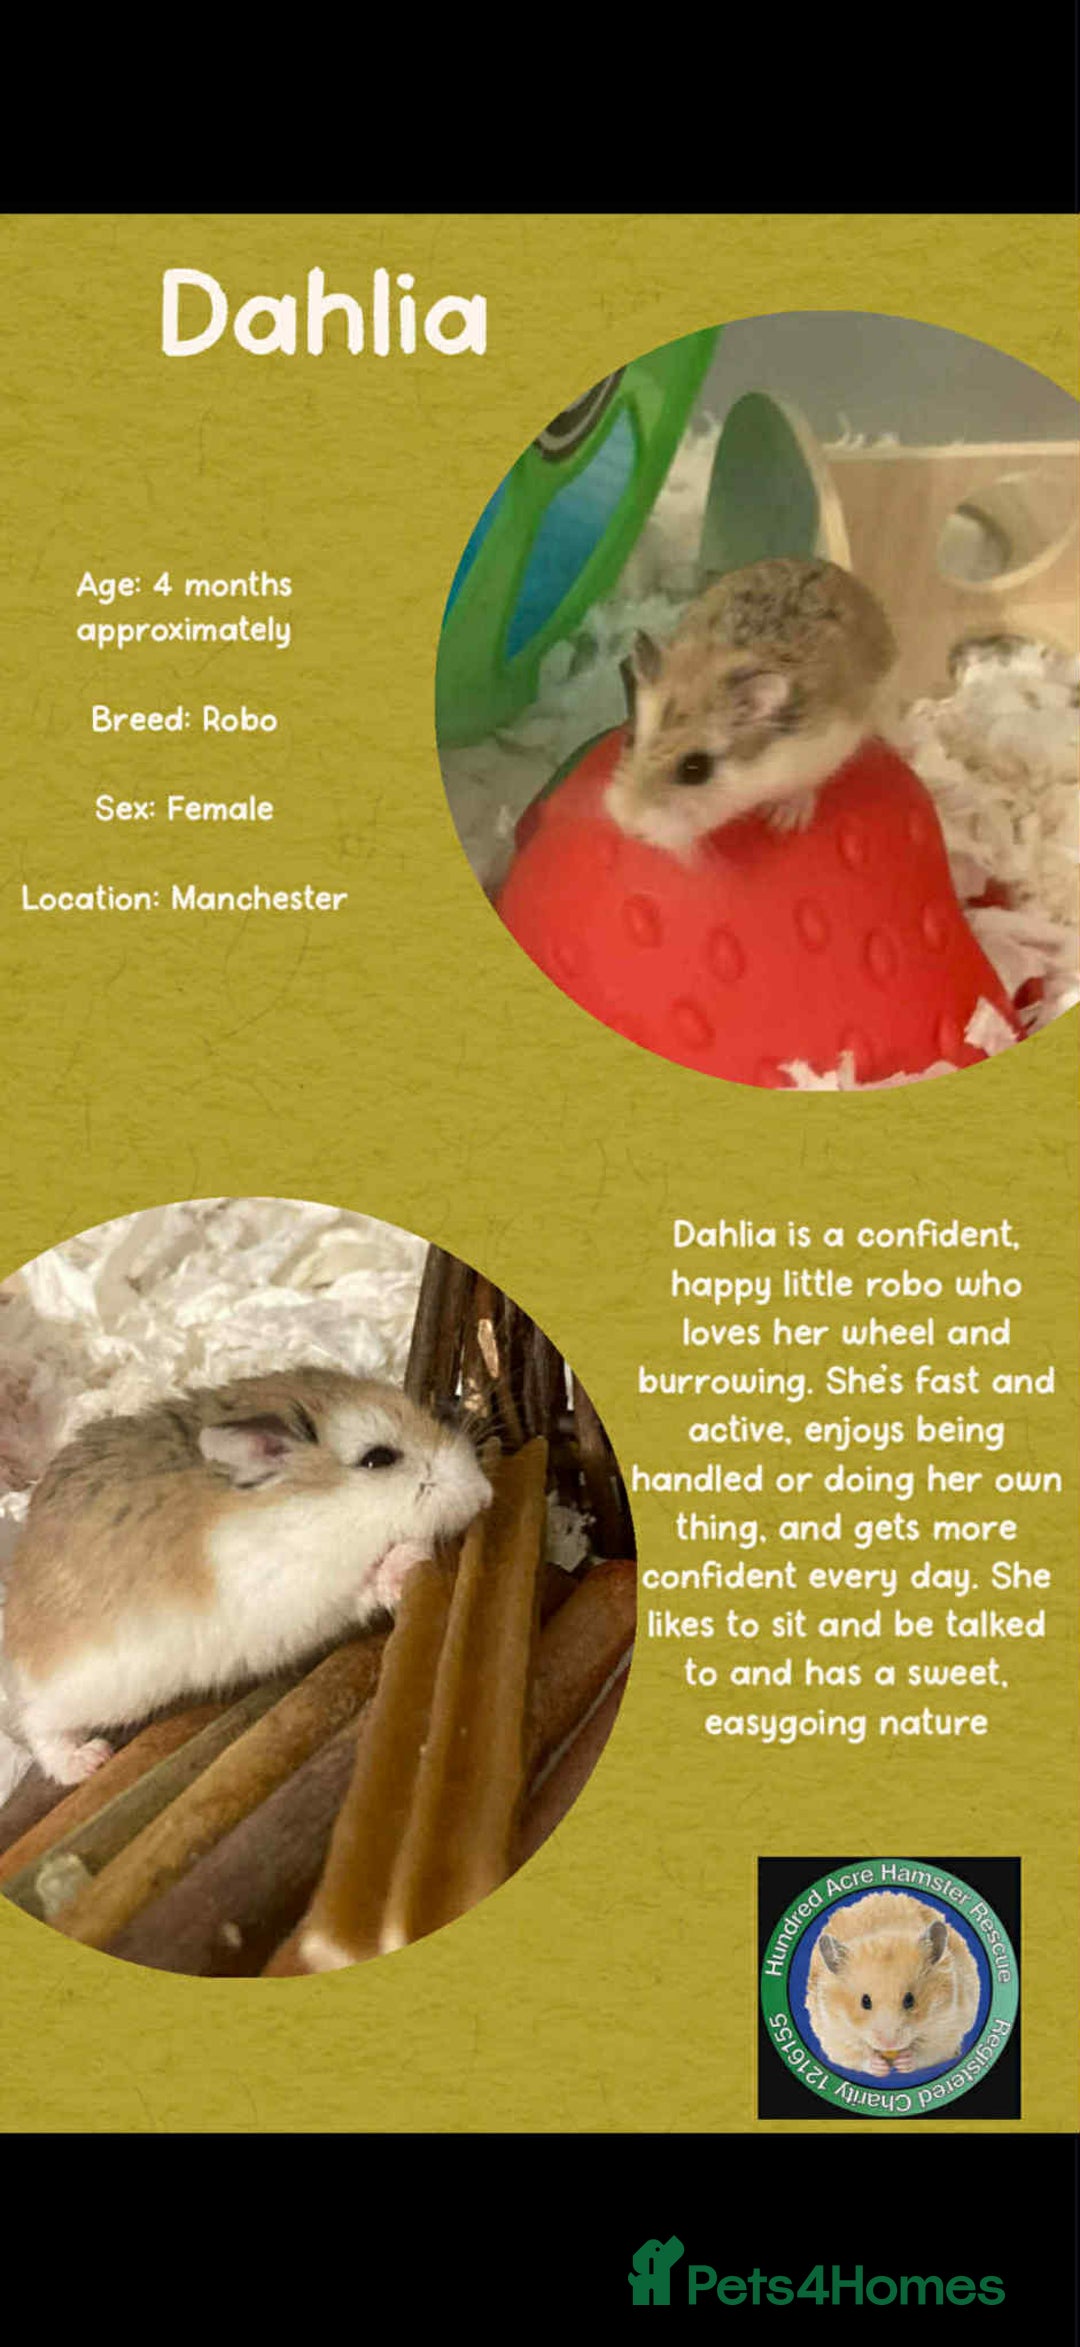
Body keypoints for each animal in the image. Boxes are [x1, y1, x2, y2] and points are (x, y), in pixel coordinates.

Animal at [0, 1368, 492, 1786]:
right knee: (38, 1724)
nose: (486, 1495)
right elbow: (363, 1587)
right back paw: (88, 1760)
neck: (306, 1505)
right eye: (378, 1459)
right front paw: (411, 1555)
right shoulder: (297, 1595)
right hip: (93, 1688)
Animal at [805, 1891, 981, 2077]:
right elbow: (856, 2055)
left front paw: (904, 2062)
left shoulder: (948, 2025)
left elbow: (928, 2052)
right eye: (865, 2002)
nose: (889, 2044)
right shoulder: (834, 2032)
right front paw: (880, 2068)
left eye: (910, 2000)